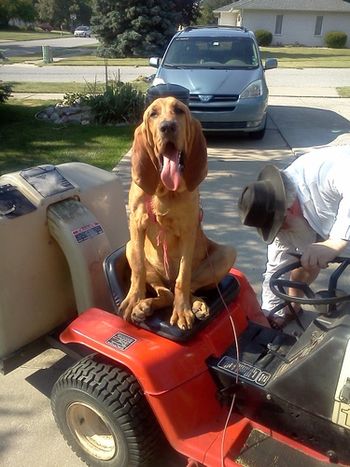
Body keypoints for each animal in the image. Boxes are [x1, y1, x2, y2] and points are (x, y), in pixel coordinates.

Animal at [119, 96, 237, 330]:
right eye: (153, 114)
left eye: (179, 111)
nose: (167, 127)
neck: (165, 192)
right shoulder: (135, 225)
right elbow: (138, 270)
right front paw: (133, 300)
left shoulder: (188, 230)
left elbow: (183, 277)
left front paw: (182, 312)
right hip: (130, 248)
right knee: (165, 292)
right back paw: (143, 306)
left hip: (229, 252)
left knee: (184, 288)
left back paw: (196, 305)